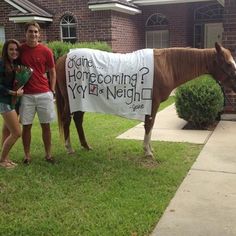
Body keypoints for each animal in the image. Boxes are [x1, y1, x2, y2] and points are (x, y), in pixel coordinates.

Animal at [54, 42, 236, 158]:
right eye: (228, 64)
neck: (166, 66)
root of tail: (63, 58)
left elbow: (150, 125)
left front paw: (149, 149)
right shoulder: (152, 103)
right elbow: (150, 124)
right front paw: (147, 151)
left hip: (81, 101)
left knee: (78, 119)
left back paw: (86, 146)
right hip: (71, 100)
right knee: (67, 119)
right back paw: (69, 148)